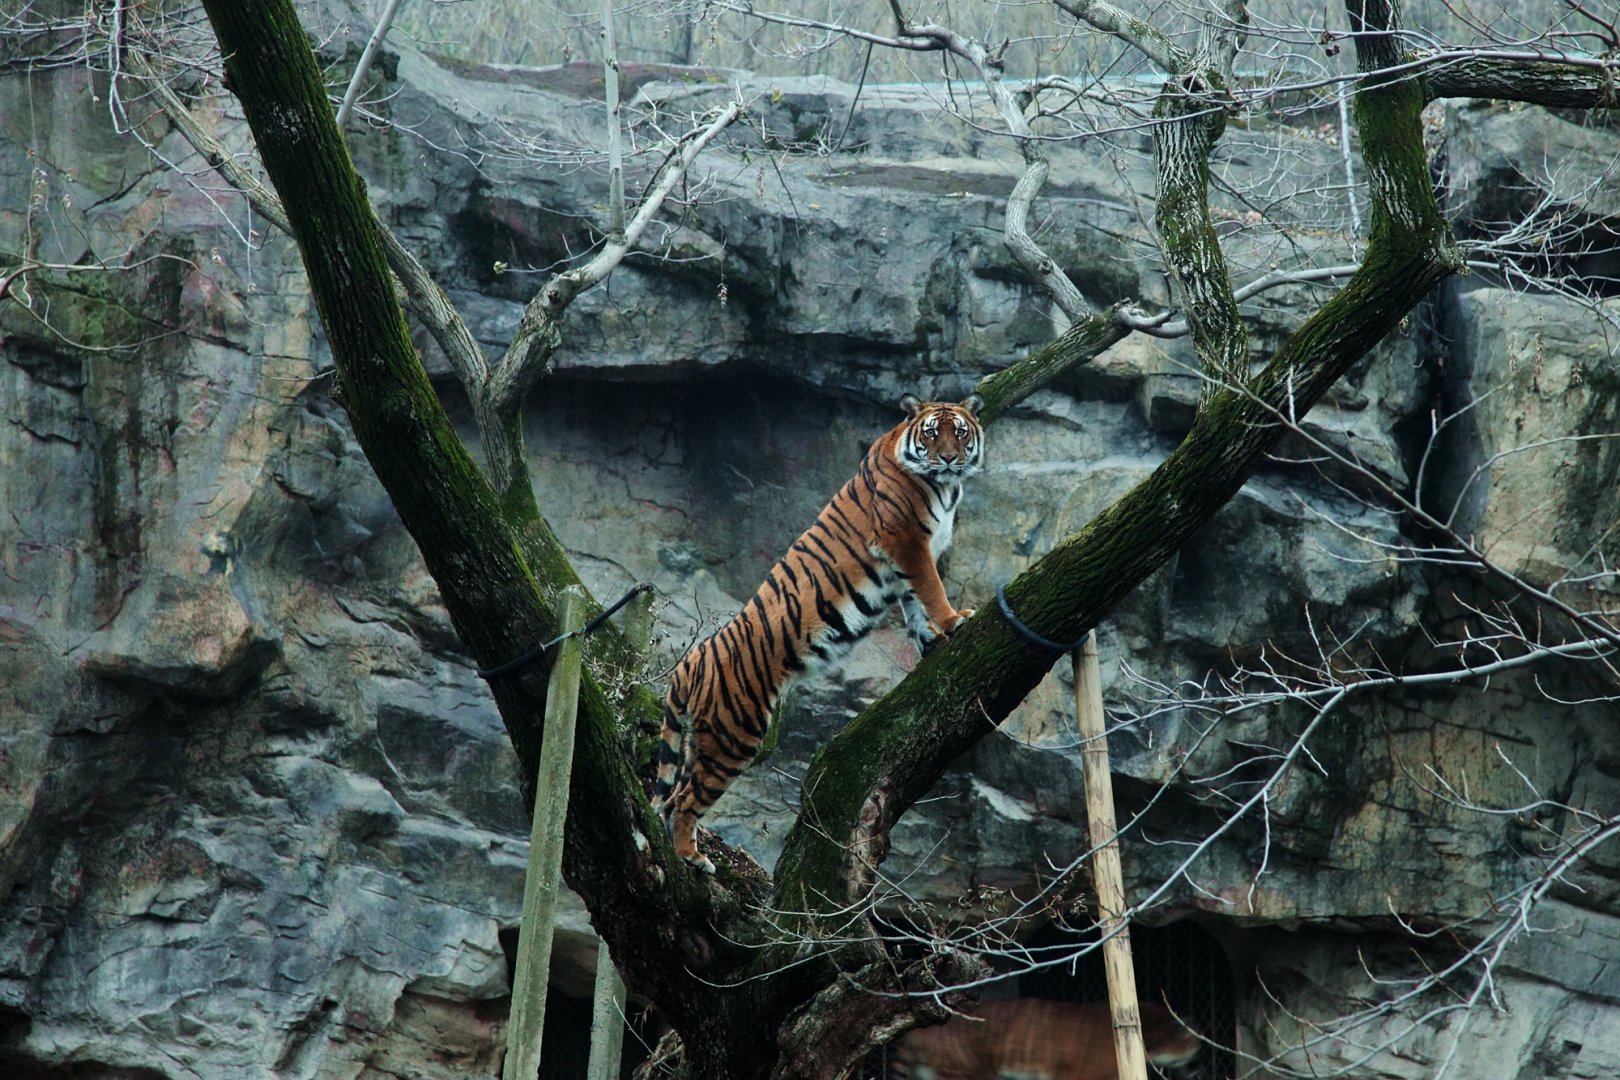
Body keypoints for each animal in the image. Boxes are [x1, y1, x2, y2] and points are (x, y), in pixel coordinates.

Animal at [652, 393, 986, 873]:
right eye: (931, 433)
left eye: (959, 432)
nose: (947, 458)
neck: (943, 486)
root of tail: (689, 664)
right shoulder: (906, 540)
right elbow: (931, 589)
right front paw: (955, 619)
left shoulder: (906, 557)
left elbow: (913, 604)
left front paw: (931, 639)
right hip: (733, 735)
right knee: (683, 802)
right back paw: (692, 858)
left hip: (704, 739)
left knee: (672, 796)